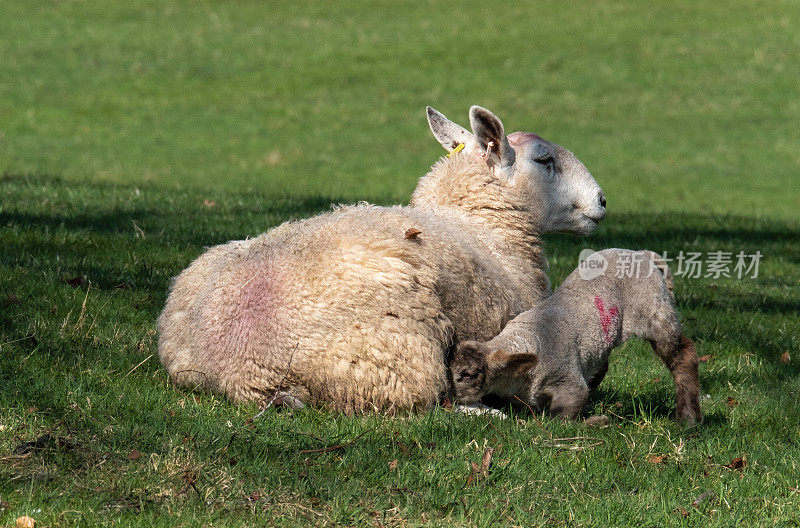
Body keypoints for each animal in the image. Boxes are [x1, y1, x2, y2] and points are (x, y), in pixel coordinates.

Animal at [158, 106, 608, 412]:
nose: (602, 201)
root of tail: (239, 364)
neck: (481, 225)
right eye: (544, 160)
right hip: (395, 359)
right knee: (430, 404)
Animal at [454, 248, 704, 424]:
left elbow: (561, 417)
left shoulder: (567, 379)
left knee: (683, 355)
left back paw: (688, 417)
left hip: (655, 311)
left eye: (469, 374)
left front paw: (592, 422)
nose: (448, 398)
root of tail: (642, 255)